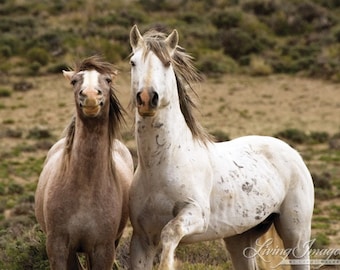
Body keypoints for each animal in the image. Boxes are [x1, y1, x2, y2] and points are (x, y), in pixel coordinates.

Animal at [35, 56, 133, 268]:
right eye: (74, 81)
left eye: (108, 80)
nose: (90, 96)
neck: (85, 189)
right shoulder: (58, 246)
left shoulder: (103, 249)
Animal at [128, 25, 314, 270]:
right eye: (133, 62)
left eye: (167, 62)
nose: (147, 98)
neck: (162, 164)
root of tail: (293, 152)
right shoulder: (142, 239)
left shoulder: (196, 215)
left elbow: (170, 232)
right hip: (240, 237)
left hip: (296, 235)